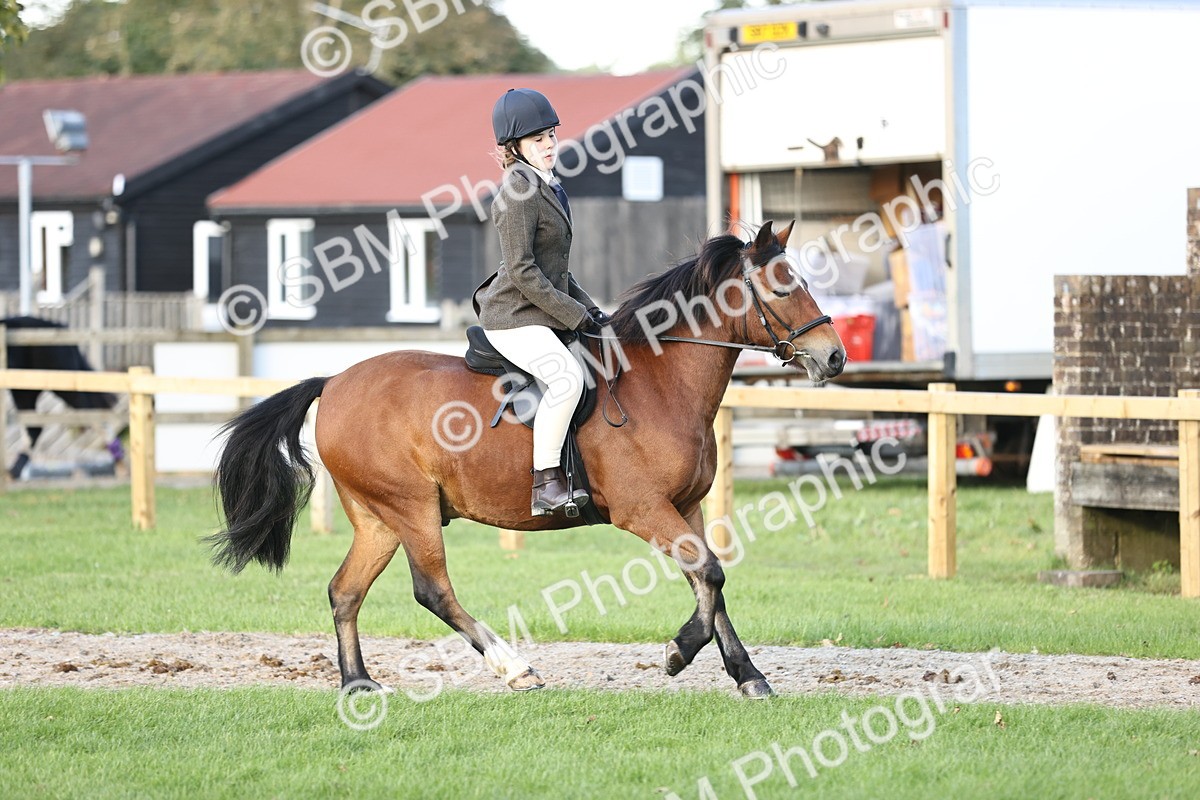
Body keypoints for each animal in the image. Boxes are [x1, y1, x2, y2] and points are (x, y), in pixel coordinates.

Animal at [208, 220, 846, 698]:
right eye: (783, 288)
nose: (834, 356)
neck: (661, 383)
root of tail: (334, 381)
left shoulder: (684, 507)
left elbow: (709, 581)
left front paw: (747, 675)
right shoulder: (642, 509)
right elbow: (709, 575)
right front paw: (677, 654)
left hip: (377, 518)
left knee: (345, 592)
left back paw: (357, 683)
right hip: (411, 508)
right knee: (432, 590)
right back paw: (515, 669)